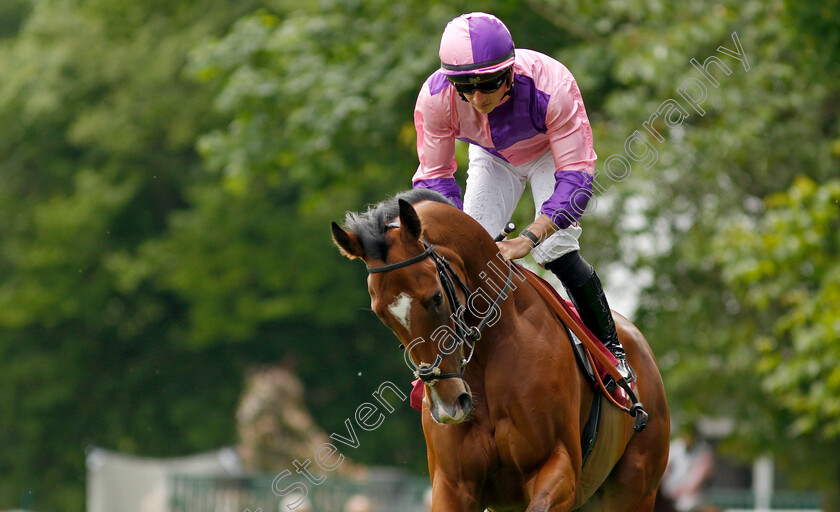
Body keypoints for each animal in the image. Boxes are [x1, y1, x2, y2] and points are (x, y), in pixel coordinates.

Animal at [332, 189, 668, 512]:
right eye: (381, 314)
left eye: (436, 298)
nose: (447, 405)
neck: (488, 355)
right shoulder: (453, 486)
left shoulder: (559, 466)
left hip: (633, 490)